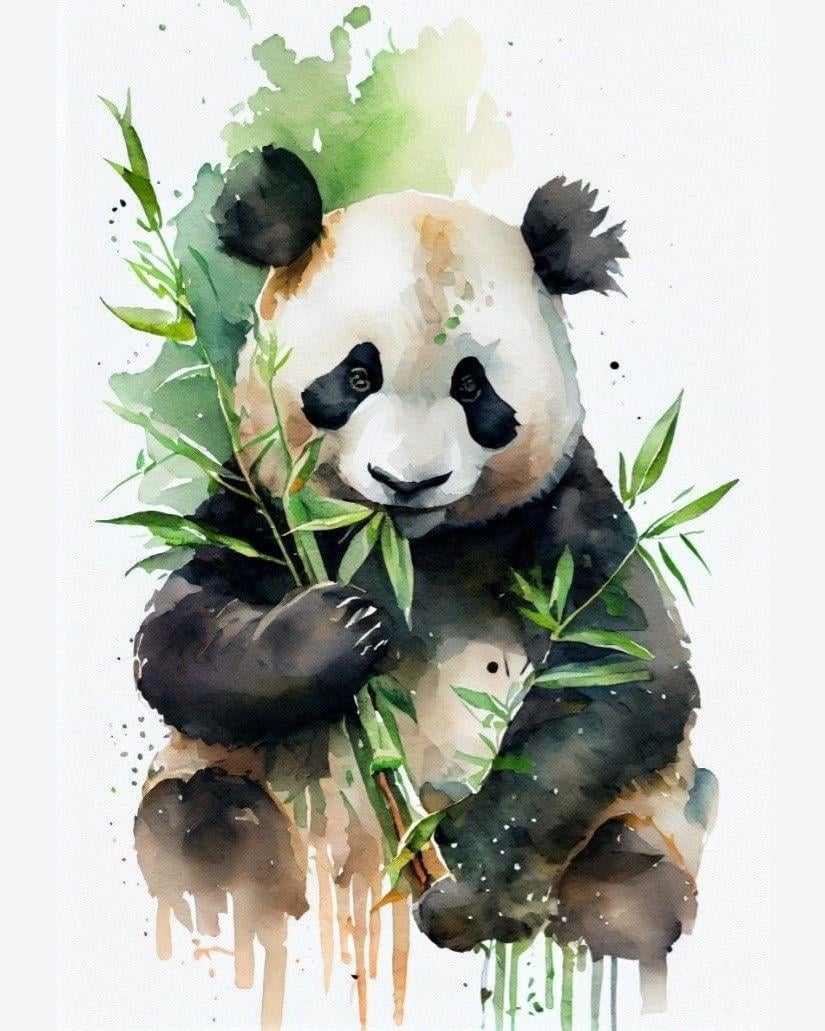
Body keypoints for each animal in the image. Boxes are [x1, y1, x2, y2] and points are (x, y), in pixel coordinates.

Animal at [133, 146, 718, 1018]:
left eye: (473, 388)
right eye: (356, 374)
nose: (406, 480)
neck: (411, 547)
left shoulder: (562, 511)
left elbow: (622, 671)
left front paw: (464, 890)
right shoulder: (263, 504)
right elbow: (178, 634)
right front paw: (335, 630)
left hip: (646, 821)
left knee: (630, 878)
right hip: (248, 790)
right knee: (197, 819)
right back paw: (236, 893)